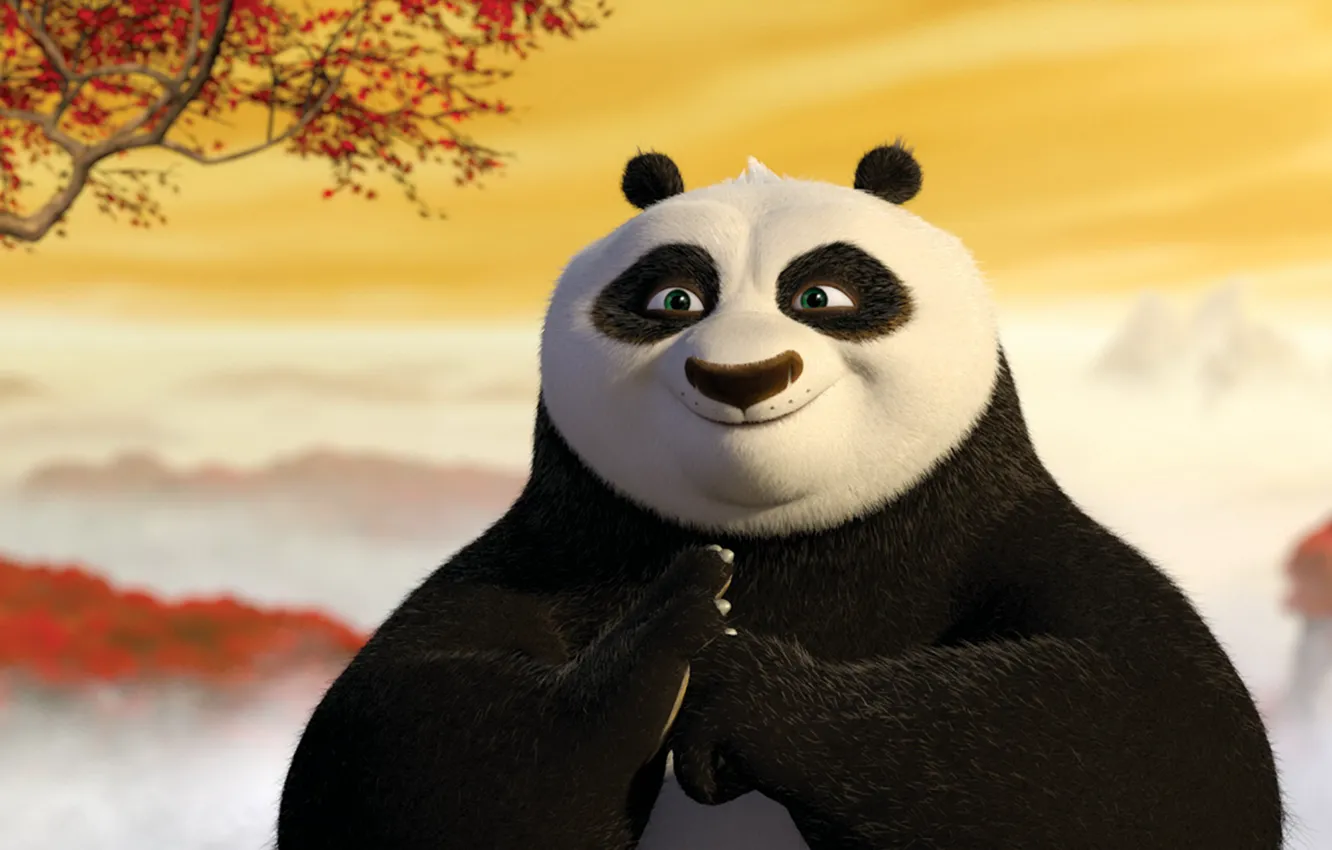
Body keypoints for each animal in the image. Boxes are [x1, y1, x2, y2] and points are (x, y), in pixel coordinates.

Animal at [276, 143, 1285, 850]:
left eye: (822, 295)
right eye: (675, 300)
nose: (745, 377)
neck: (776, 536)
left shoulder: (997, 528)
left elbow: (1154, 734)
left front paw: (738, 686)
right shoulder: (556, 546)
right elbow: (395, 741)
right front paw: (657, 644)